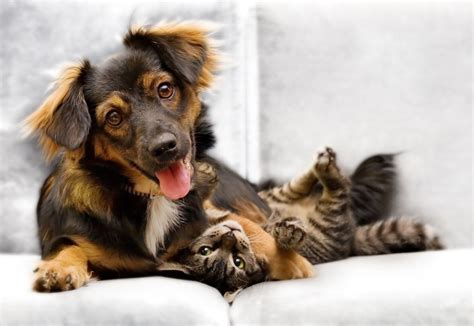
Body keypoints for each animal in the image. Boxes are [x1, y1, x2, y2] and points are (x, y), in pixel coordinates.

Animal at [25, 22, 270, 292]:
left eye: (164, 89)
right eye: (113, 117)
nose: (164, 147)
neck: (154, 196)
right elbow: (67, 246)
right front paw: (58, 268)